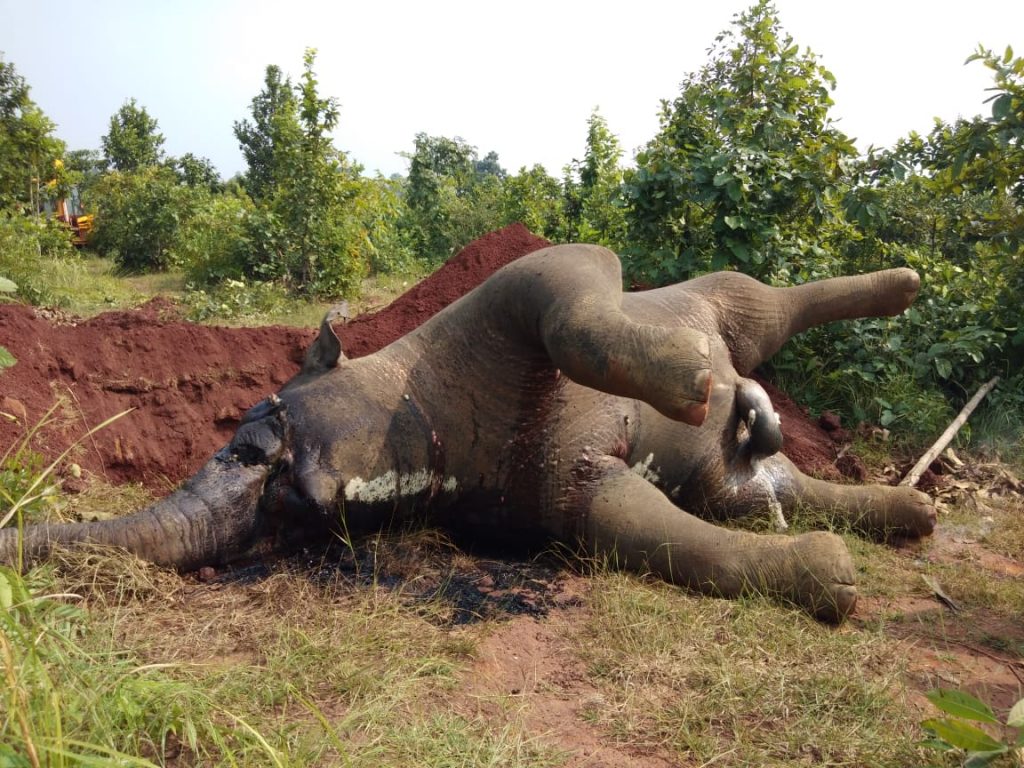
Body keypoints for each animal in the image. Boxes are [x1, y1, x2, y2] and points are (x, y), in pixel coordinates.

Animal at [0, 244, 937, 622]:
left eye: (252, 443)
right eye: (292, 512)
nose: (272, 485)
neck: (428, 416)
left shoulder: (550, 275)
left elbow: (577, 313)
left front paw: (688, 382)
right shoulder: (563, 499)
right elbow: (665, 541)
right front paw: (823, 574)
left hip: (725, 298)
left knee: (767, 304)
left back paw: (897, 287)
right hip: (735, 478)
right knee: (769, 488)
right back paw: (904, 509)